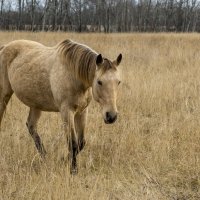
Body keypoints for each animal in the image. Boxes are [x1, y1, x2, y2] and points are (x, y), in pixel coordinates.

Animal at [0, 39, 122, 173]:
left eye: (118, 82)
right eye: (99, 82)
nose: (111, 116)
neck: (73, 75)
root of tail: (4, 47)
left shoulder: (82, 111)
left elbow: (81, 143)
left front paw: (63, 160)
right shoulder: (66, 112)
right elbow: (73, 144)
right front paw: (73, 171)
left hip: (36, 105)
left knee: (31, 126)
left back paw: (45, 157)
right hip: (4, 96)